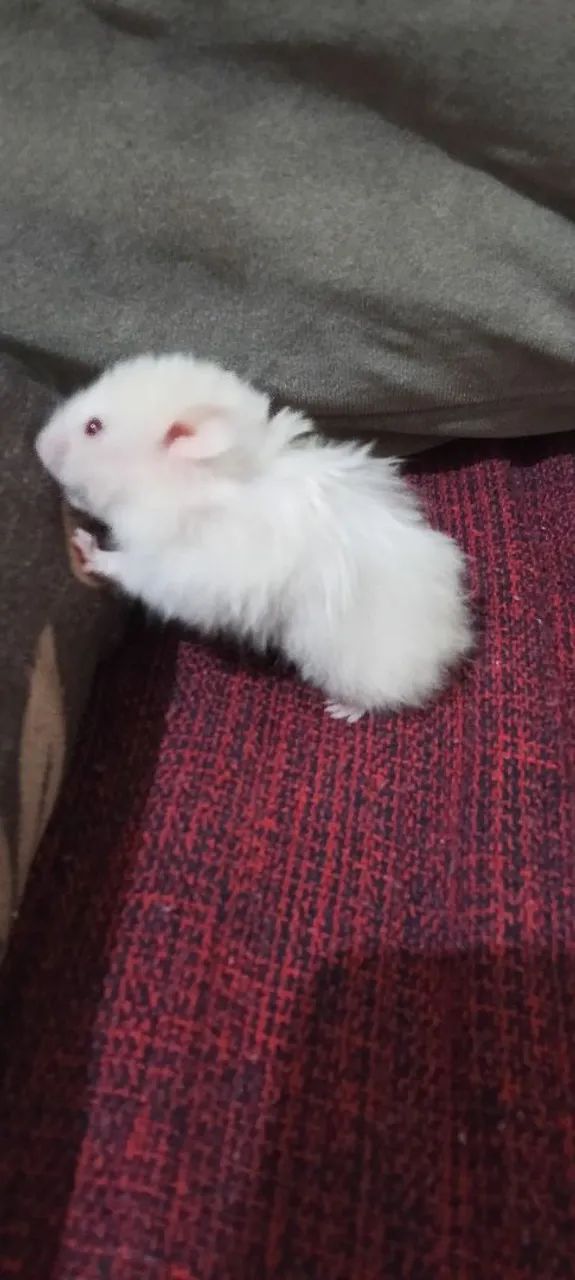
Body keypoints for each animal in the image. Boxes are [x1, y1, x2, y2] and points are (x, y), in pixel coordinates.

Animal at [36, 353, 472, 721]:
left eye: (94, 427)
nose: (38, 444)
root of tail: (452, 642)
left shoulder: (176, 569)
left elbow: (129, 569)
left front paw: (84, 545)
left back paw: (341, 710)